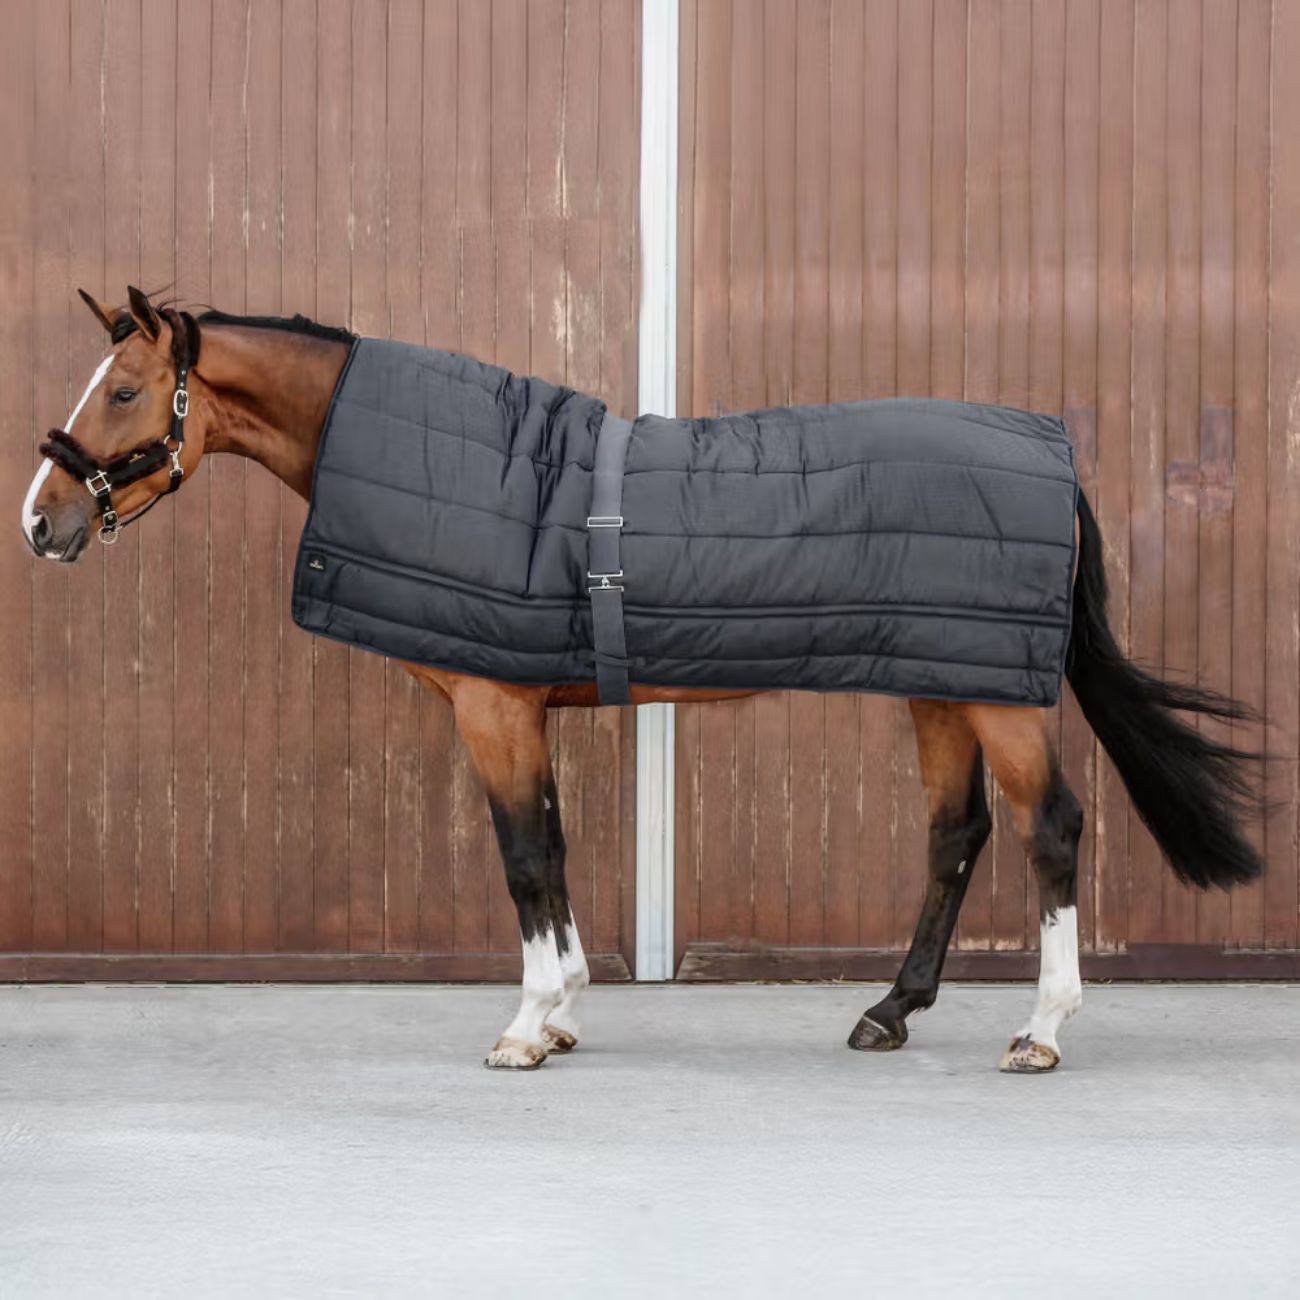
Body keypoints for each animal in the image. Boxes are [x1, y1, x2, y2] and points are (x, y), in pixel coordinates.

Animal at [22, 288, 1264, 1074]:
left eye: (123, 391)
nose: (42, 520)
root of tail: (1047, 448)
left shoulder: (494, 707)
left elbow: (524, 856)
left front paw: (525, 1026)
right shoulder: (524, 704)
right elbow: (557, 848)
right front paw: (566, 1008)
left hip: (997, 696)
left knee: (1050, 827)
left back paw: (1041, 1030)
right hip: (941, 681)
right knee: (955, 833)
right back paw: (888, 1011)